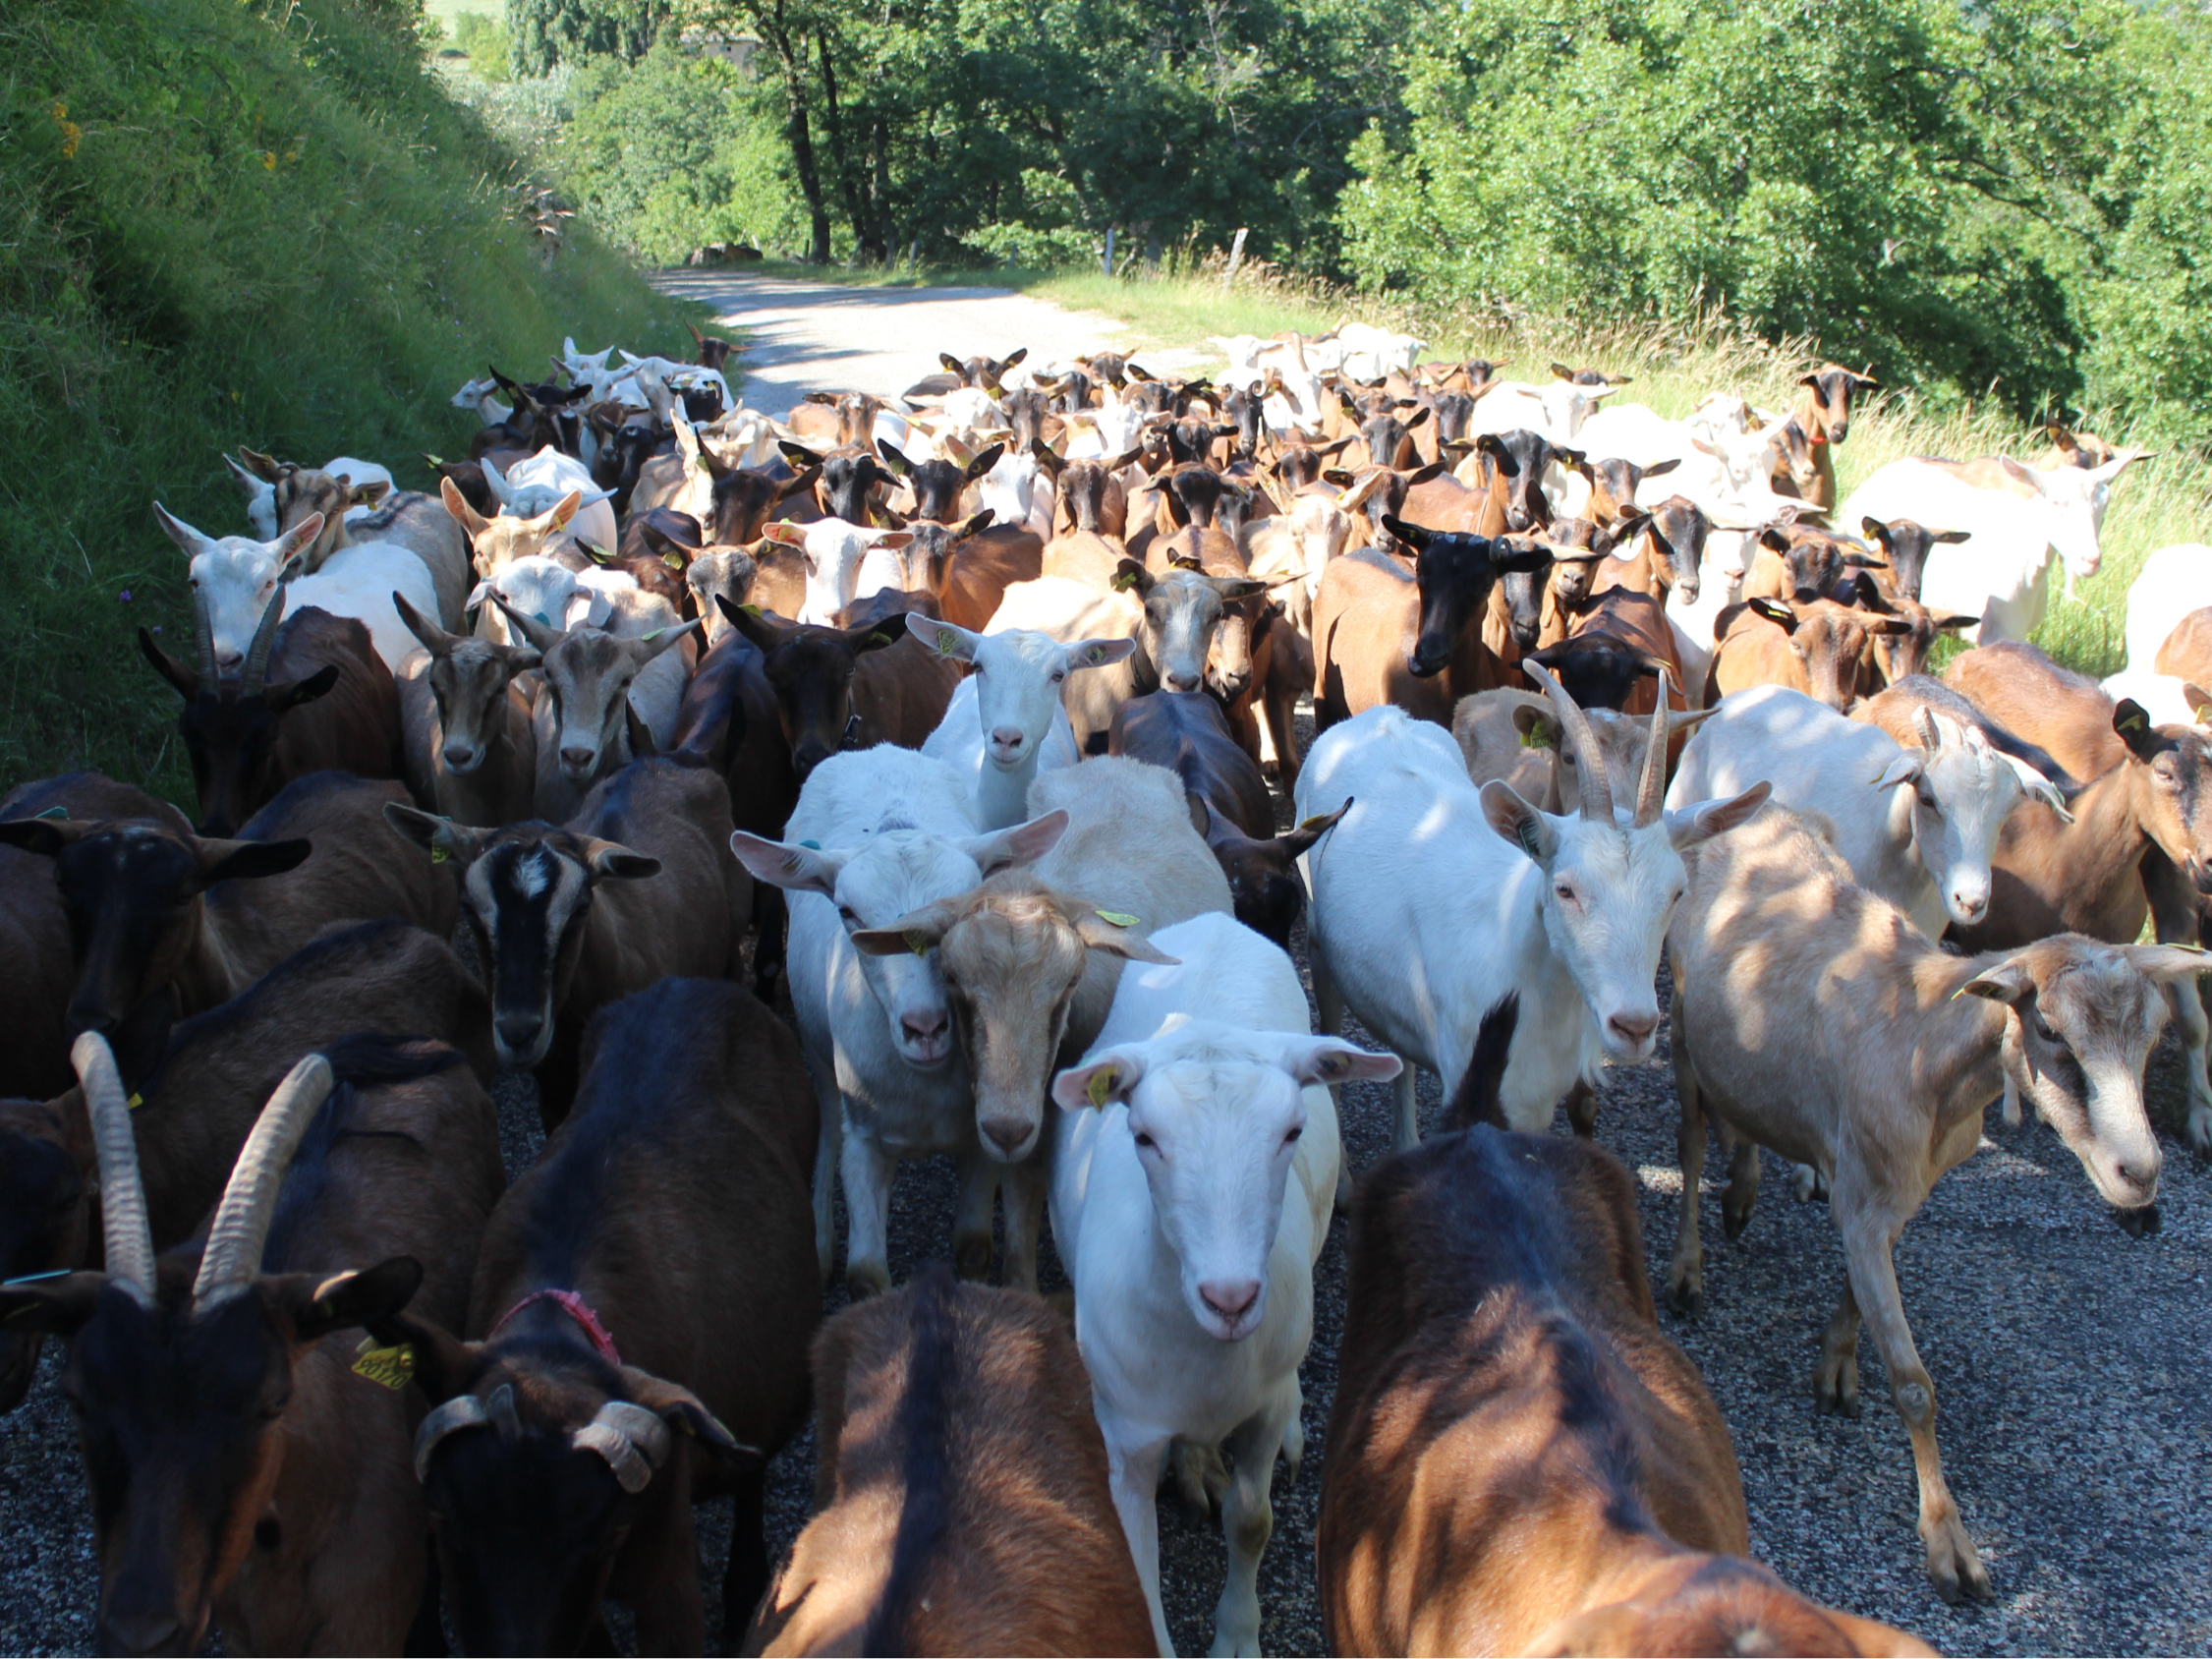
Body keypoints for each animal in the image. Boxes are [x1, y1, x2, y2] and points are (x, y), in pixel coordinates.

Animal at [375, 982, 818, 1654]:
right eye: (443, 1518)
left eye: (605, 1534)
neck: (554, 1340)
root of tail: (693, 984)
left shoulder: (666, 1577)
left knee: (753, 1473)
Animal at [1056, 915, 1397, 1654]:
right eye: (1143, 1136)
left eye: (1292, 1130)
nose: (1231, 1298)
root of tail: (1216, 921)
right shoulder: (1124, 1431)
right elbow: (1136, 1561)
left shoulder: (1260, 1408)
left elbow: (1252, 1519)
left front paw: (1237, 1634)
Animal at [1663, 814, 2202, 1601]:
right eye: (2050, 1032)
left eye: (2152, 1033)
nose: (2139, 1176)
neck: (1925, 1047)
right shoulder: (1861, 1201)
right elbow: (1916, 1387)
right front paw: (1950, 1546)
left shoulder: (1896, 1196)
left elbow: (1859, 1300)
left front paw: (1838, 1364)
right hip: (1680, 1034)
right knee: (1693, 1141)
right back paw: (1688, 1267)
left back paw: (1740, 1194)